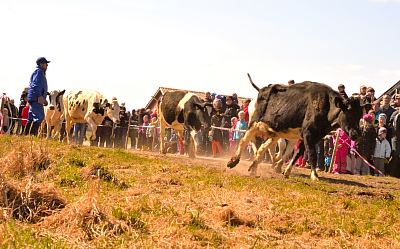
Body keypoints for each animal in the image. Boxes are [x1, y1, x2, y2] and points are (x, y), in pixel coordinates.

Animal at [227, 74, 364, 181]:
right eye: (348, 113)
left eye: (360, 115)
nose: (356, 134)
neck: (325, 105)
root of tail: (262, 89)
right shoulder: (308, 133)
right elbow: (311, 153)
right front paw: (314, 175)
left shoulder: (312, 136)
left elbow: (298, 153)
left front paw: (286, 171)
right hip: (254, 123)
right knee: (245, 140)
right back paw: (233, 161)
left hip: (274, 131)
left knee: (264, 147)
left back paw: (255, 167)